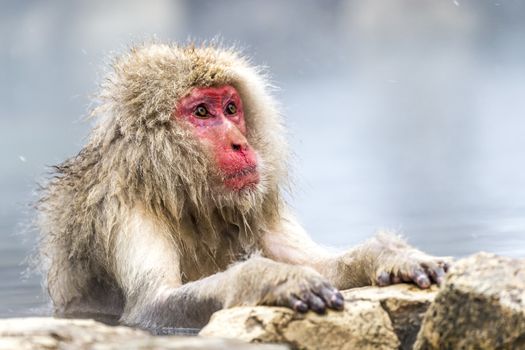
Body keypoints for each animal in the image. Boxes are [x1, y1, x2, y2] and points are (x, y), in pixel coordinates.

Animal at [36, 43, 448, 330]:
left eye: (231, 109)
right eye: (202, 112)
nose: (240, 143)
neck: (180, 194)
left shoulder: (254, 202)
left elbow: (319, 264)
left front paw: (386, 254)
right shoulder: (125, 211)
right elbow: (151, 305)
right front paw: (272, 278)